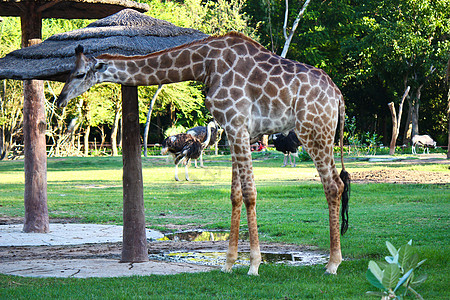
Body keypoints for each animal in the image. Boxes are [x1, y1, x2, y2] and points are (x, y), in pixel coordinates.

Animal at [57, 31, 352, 276]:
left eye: (80, 74)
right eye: (69, 71)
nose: (60, 100)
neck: (204, 64)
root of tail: (338, 96)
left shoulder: (237, 124)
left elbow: (250, 193)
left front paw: (254, 265)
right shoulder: (233, 129)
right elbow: (235, 195)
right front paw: (229, 263)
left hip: (313, 130)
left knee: (333, 185)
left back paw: (333, 264)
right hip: (321, 132)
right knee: (338, 184)